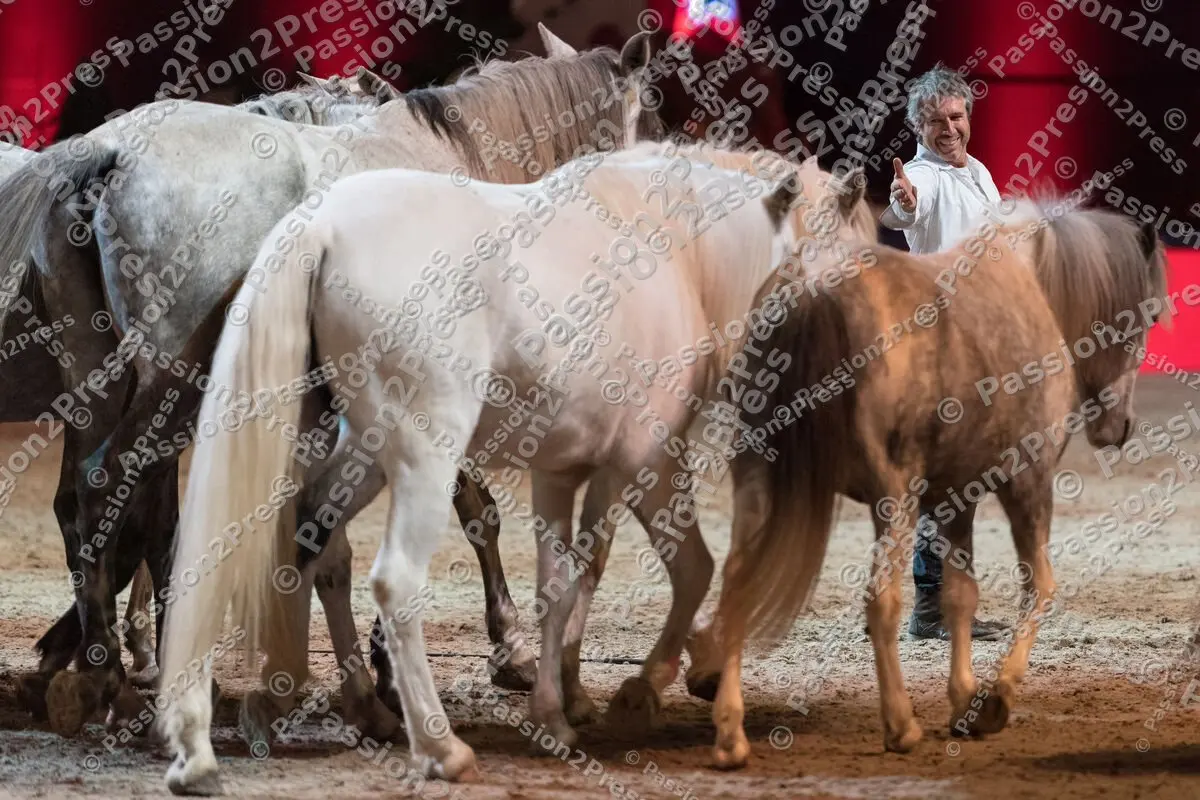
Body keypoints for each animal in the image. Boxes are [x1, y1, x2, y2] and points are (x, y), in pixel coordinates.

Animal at [0, 23, 663, 746]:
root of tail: (110, 152)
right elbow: (468, 509)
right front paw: (491, 649)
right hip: (169, 383)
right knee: (115, 489)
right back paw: (118, 677)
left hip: (99, 378)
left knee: (92, 499)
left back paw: (102, 670)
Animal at [152, 135, 874, 794]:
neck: (682, 253)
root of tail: (322, 226)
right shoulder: (648, 462)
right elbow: (690, 569)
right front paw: (639, 690)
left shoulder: (560, 473)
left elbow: (559, 585)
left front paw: (555, 713)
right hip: (423, 457)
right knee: (393, 582)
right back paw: (437, 746)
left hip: (354, 452)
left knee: (293, 539)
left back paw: (236, 726)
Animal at [704, 196, 1169, 768]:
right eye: (1148, 315)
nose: (1119, 427)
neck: (1032, 287)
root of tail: (814, 289)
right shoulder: (1027, 481)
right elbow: (1039, 587)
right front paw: (997, 698)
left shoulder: (955, 498)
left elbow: (960, 595)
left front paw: (965, 700)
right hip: (892, 497)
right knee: (881, 602)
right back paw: (900, 725)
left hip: (759, 483)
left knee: (737, 587)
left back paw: (730, 733)